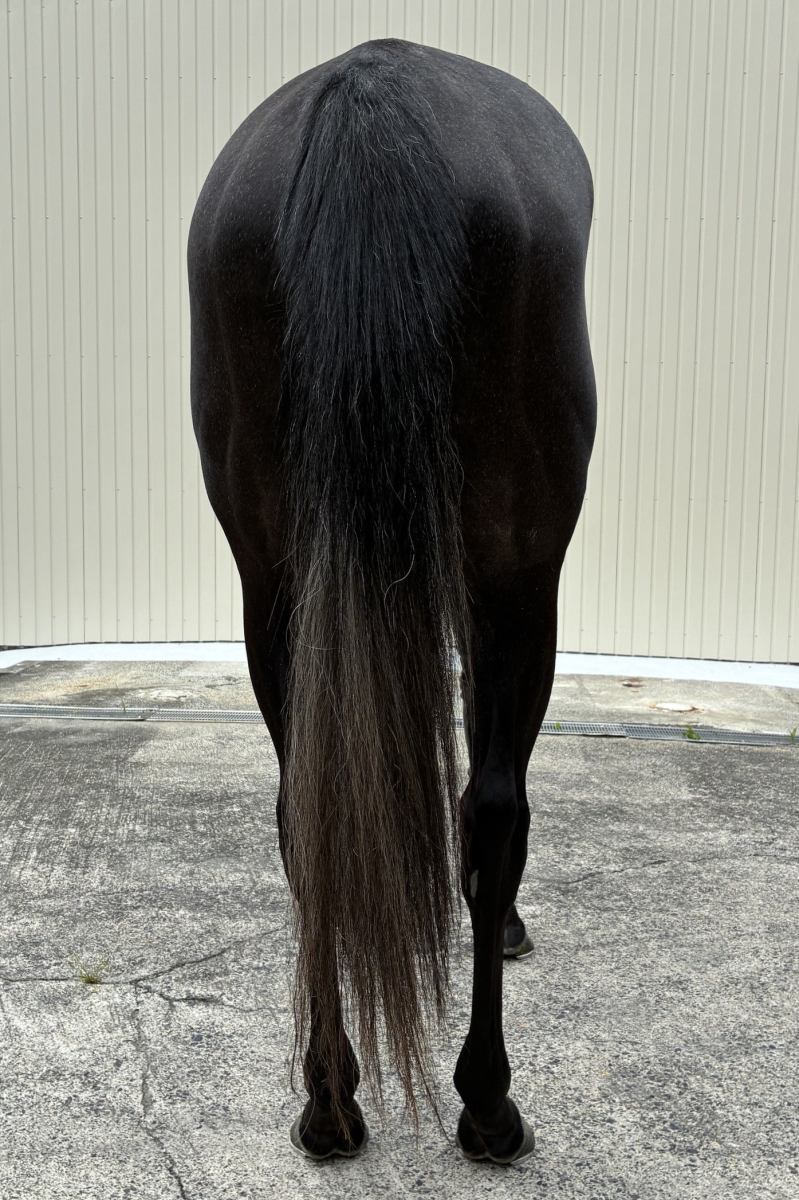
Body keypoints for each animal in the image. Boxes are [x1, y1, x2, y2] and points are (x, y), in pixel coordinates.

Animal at [188, 38, 595, 1164]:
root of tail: (372, 89)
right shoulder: (515, 585)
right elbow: (491, 794)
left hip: (273, 580)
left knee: (303, 807)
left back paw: (329, 1100)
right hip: (517, 573)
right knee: (493, 806)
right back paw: (487, 1103)